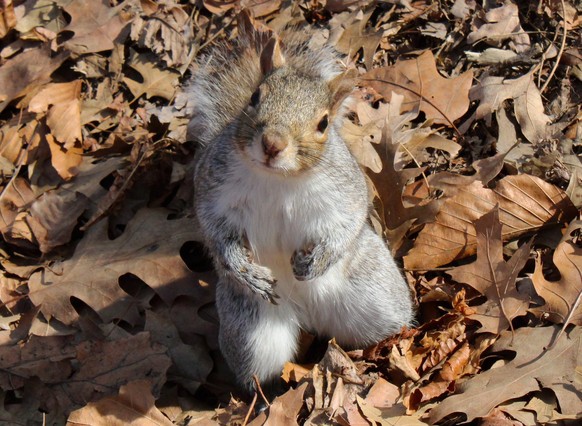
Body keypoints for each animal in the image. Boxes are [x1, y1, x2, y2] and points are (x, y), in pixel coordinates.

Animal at [187, 13, 416, 392]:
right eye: (254, 97)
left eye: (323, 122)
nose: (273, 143)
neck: (278, 179)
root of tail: (309, 315)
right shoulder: (212, 189)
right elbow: (215, 233)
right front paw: (245, 270)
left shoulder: (345, 190)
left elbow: (348, 220)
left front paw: (317, 261)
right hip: (250, 330)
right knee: (258, 371)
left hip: (376, 294)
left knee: (389, 323)